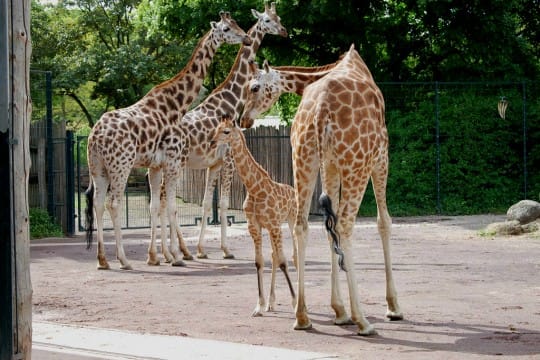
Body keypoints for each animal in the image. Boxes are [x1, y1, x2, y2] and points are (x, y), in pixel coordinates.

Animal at [86, 11, 251, 270]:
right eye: (226, 29)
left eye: (236, 24)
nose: (246, 38)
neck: (176, 105)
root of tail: (95, 136)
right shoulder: (173, 162)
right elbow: (172, 207)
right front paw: (175, 256)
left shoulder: (156, 166)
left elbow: (157, 206)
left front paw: (161, 256)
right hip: (121, 165)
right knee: (114, 203)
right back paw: (124, 260)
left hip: (97, 167)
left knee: (98, 203)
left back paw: (103, 260)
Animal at [158, 2, 288, 262]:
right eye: (267, 20)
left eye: (278, 17)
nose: (284, 31)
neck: (231, 99)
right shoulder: (228, 160)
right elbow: (225, 204)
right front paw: (226, 250)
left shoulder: (214, 163)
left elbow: (207, 204)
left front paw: (201, 250)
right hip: (174, 164)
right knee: (165, 202)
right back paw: (175, 253)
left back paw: (164, 254)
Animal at [210, 113, 296, 316]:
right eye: (216, 129)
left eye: (226, 131)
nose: (212, 142)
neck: (255, 188)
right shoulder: (255, 226)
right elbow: (260, 262)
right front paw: (259, 305)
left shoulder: (274, 225)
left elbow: (283, 262)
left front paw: (295, 303)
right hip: (274, 228)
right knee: (274, 255)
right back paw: (272, 303)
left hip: (291, 221)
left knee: (295, 255)